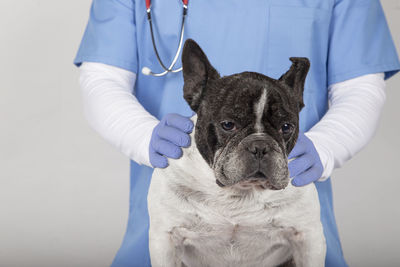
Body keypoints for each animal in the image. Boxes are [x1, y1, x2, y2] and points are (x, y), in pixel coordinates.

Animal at [147, 40, 324, 267]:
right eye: (228, 125)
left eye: (286, 127)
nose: (260, 146)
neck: (237, 193)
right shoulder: (166, 238)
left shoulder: (308, 237)